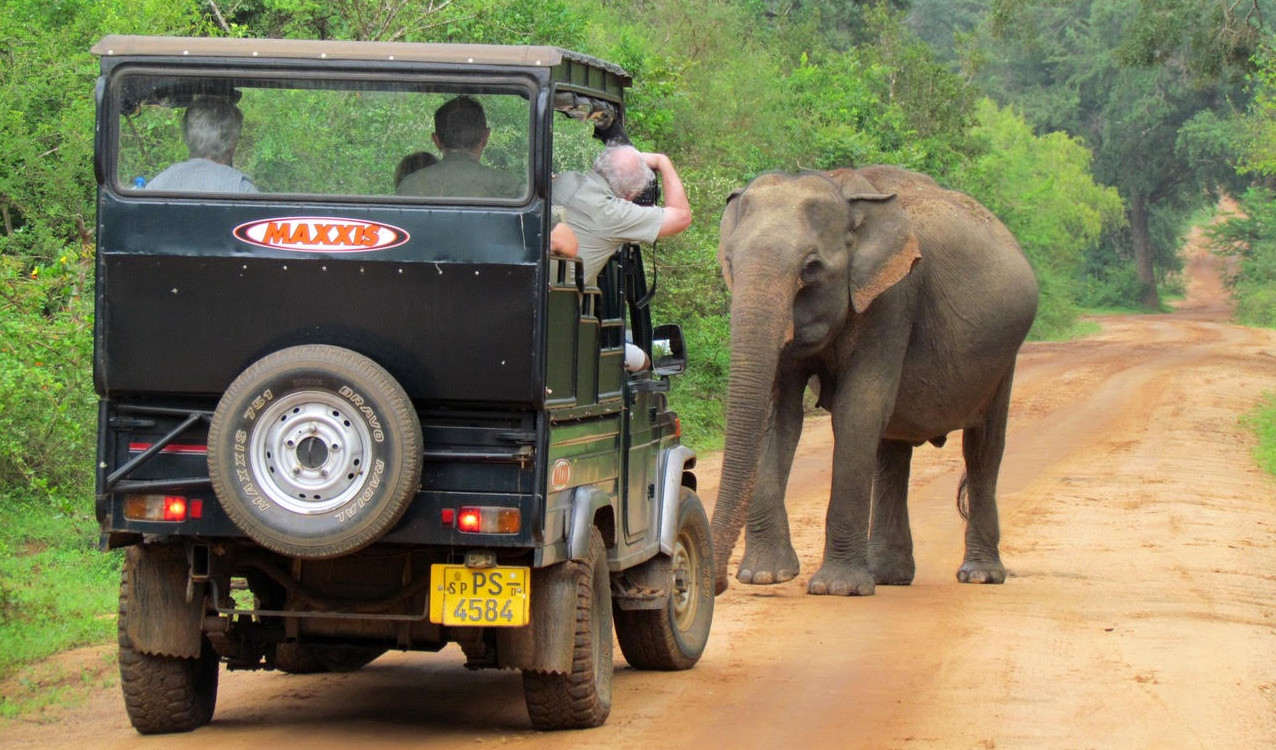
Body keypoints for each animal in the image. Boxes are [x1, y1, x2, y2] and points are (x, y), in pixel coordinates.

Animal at [714, 165, 1041, 596]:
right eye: (731, 263)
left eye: (811, 267)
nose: (715, 583)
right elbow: (778, 414)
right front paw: (765, 576)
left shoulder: (894, 298)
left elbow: (858, 409)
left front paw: (837, 588)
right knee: (893, 449)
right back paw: (888, 576)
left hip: (1004, 359)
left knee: (983, 447)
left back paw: (979, 576)